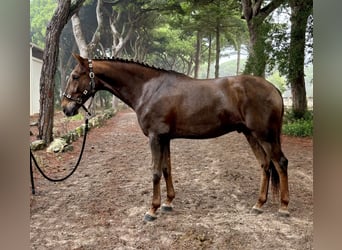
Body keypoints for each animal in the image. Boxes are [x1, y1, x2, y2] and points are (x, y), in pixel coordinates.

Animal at [60, 54, 288, 221]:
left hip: (265, 136)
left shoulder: (155, 137)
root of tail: (274, 89)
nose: (65, 108)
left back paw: (283, 207)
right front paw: (168, 203)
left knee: (280, 163)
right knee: (265, 165)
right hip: (251, 134)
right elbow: (166, 169)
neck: (148, 89)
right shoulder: (165, 138)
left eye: (75, 76)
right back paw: (258, 204)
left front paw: (152, 210)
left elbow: (155, 172)